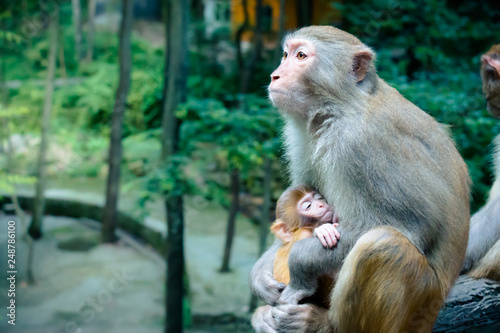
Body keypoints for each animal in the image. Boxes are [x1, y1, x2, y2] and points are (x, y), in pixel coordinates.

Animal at [252, 26, 470, 332]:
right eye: (285, 55)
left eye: (301, 56)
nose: (275, 75)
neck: (340, 108)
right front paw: (259, 277)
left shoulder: (361, 144)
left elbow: (413, 225)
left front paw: (300, 262)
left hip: (422, 301)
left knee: (382, 244)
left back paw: (322, 323)